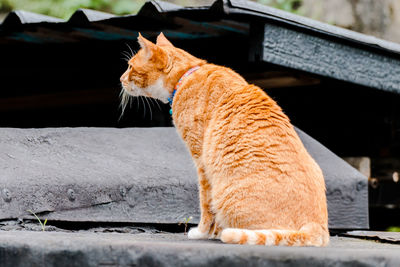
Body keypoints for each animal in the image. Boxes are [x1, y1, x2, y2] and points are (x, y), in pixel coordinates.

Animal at [120, 33, 330, 247]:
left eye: (130, 67)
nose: (120, 79)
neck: (186, 75)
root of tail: (317, 226)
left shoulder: (202, 162)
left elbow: (206, 204)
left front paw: (203, 232)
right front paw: (213, 232)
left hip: (226, 195)